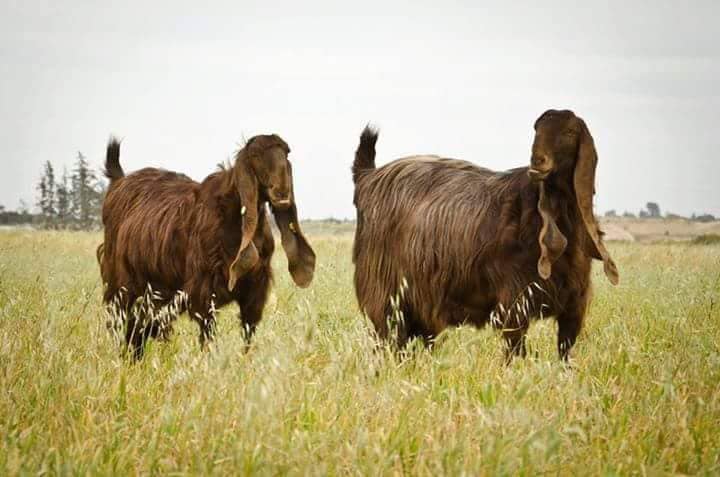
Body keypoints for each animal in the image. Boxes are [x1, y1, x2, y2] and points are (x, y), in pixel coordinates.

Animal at [99, 134, 316, 356]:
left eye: (286, 153)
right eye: (255, 155)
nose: (282, 192)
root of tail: (119, 182)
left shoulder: (255, 288)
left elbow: (248, 331)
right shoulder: (203, 289)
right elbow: (207, 332)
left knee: (139, 327)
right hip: (123, 284)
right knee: (123, 323)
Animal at [350, 109, 620, 358]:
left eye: (570, 132)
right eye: (536, 130)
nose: (537, 161)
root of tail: (367, 176)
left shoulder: (574, 306)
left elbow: (565, 352)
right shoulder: (514, 303)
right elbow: (515, 351)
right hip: (386, 296)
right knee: (389, 340)